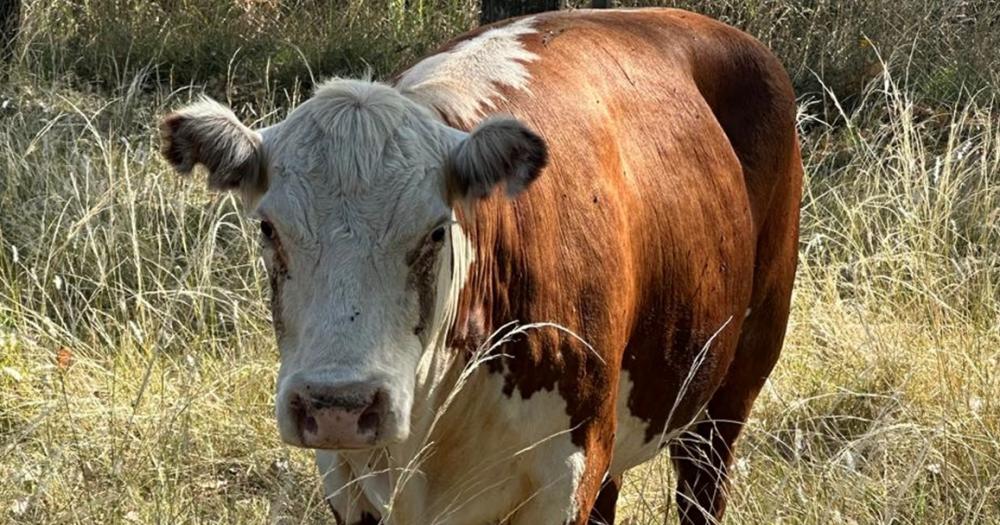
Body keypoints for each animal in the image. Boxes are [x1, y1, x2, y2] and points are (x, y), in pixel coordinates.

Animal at [160, 8, 800, 524]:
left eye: (437, 231)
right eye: (268, 228)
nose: (338, 405)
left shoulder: (566, 476)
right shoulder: (345, 480)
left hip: (731, 388)